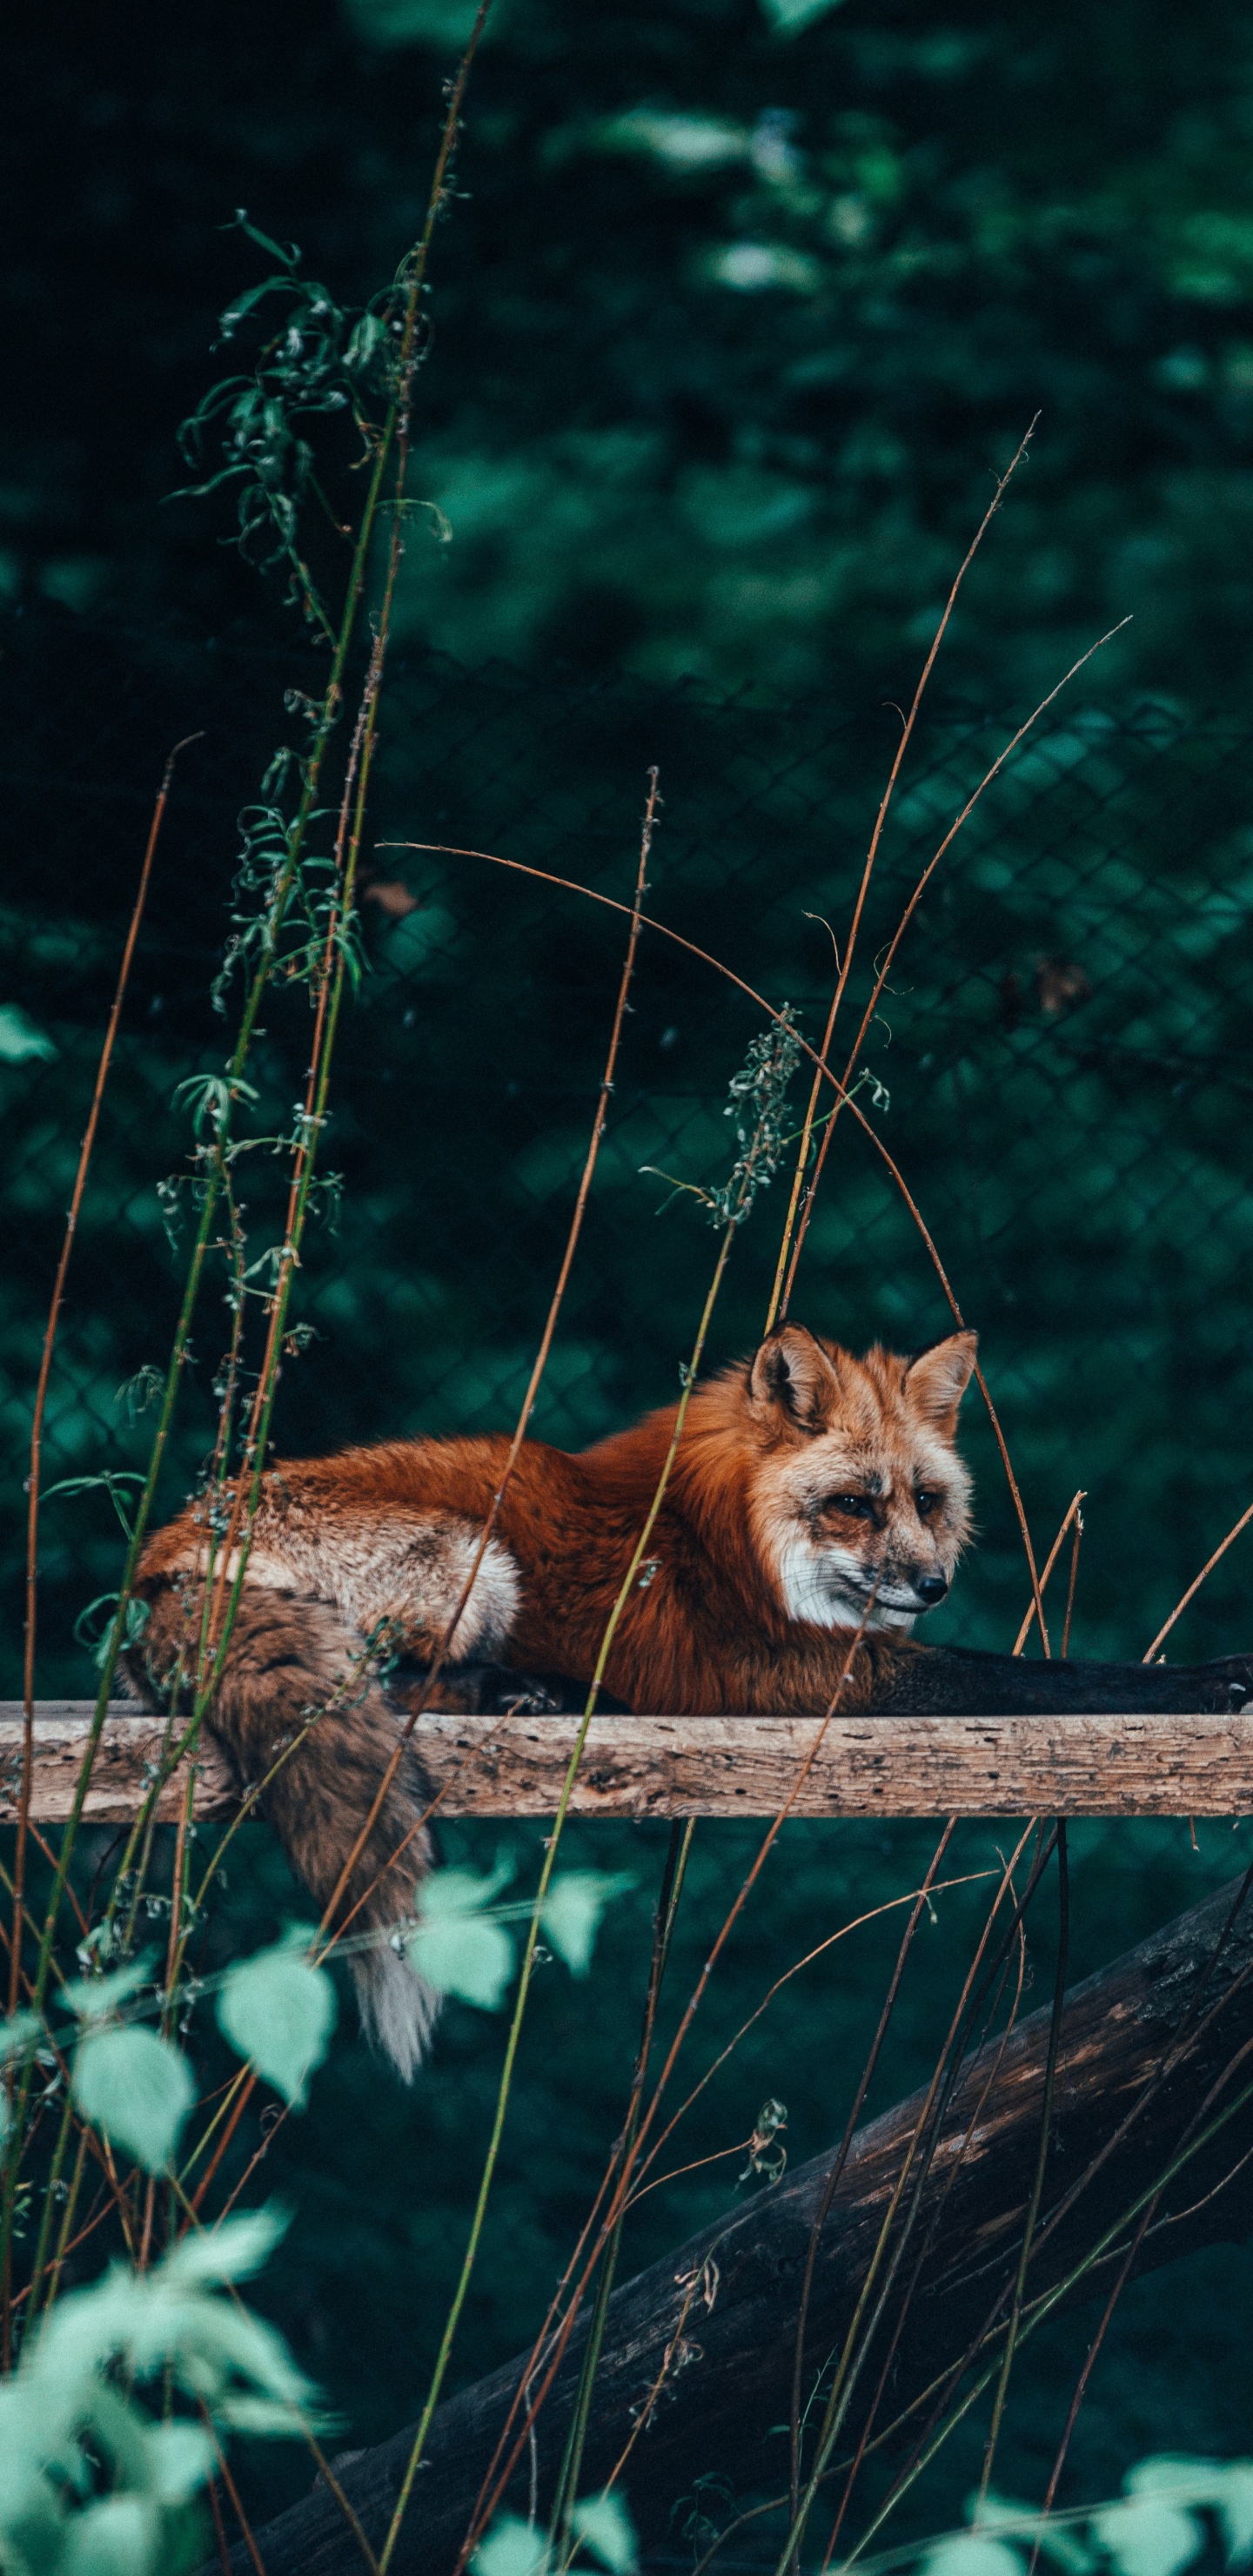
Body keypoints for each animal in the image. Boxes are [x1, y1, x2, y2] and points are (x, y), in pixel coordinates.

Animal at [132, 1322, 1253, 2076]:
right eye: (855, 1503)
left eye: (928, 1499)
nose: (933, 1585)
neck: (733, 1536)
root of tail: (161, 1560)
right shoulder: (815, 1678)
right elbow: (1063, 1674)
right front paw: (1216, 1678)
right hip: (476, 1563)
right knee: (400, 1687)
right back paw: (540, 1690)